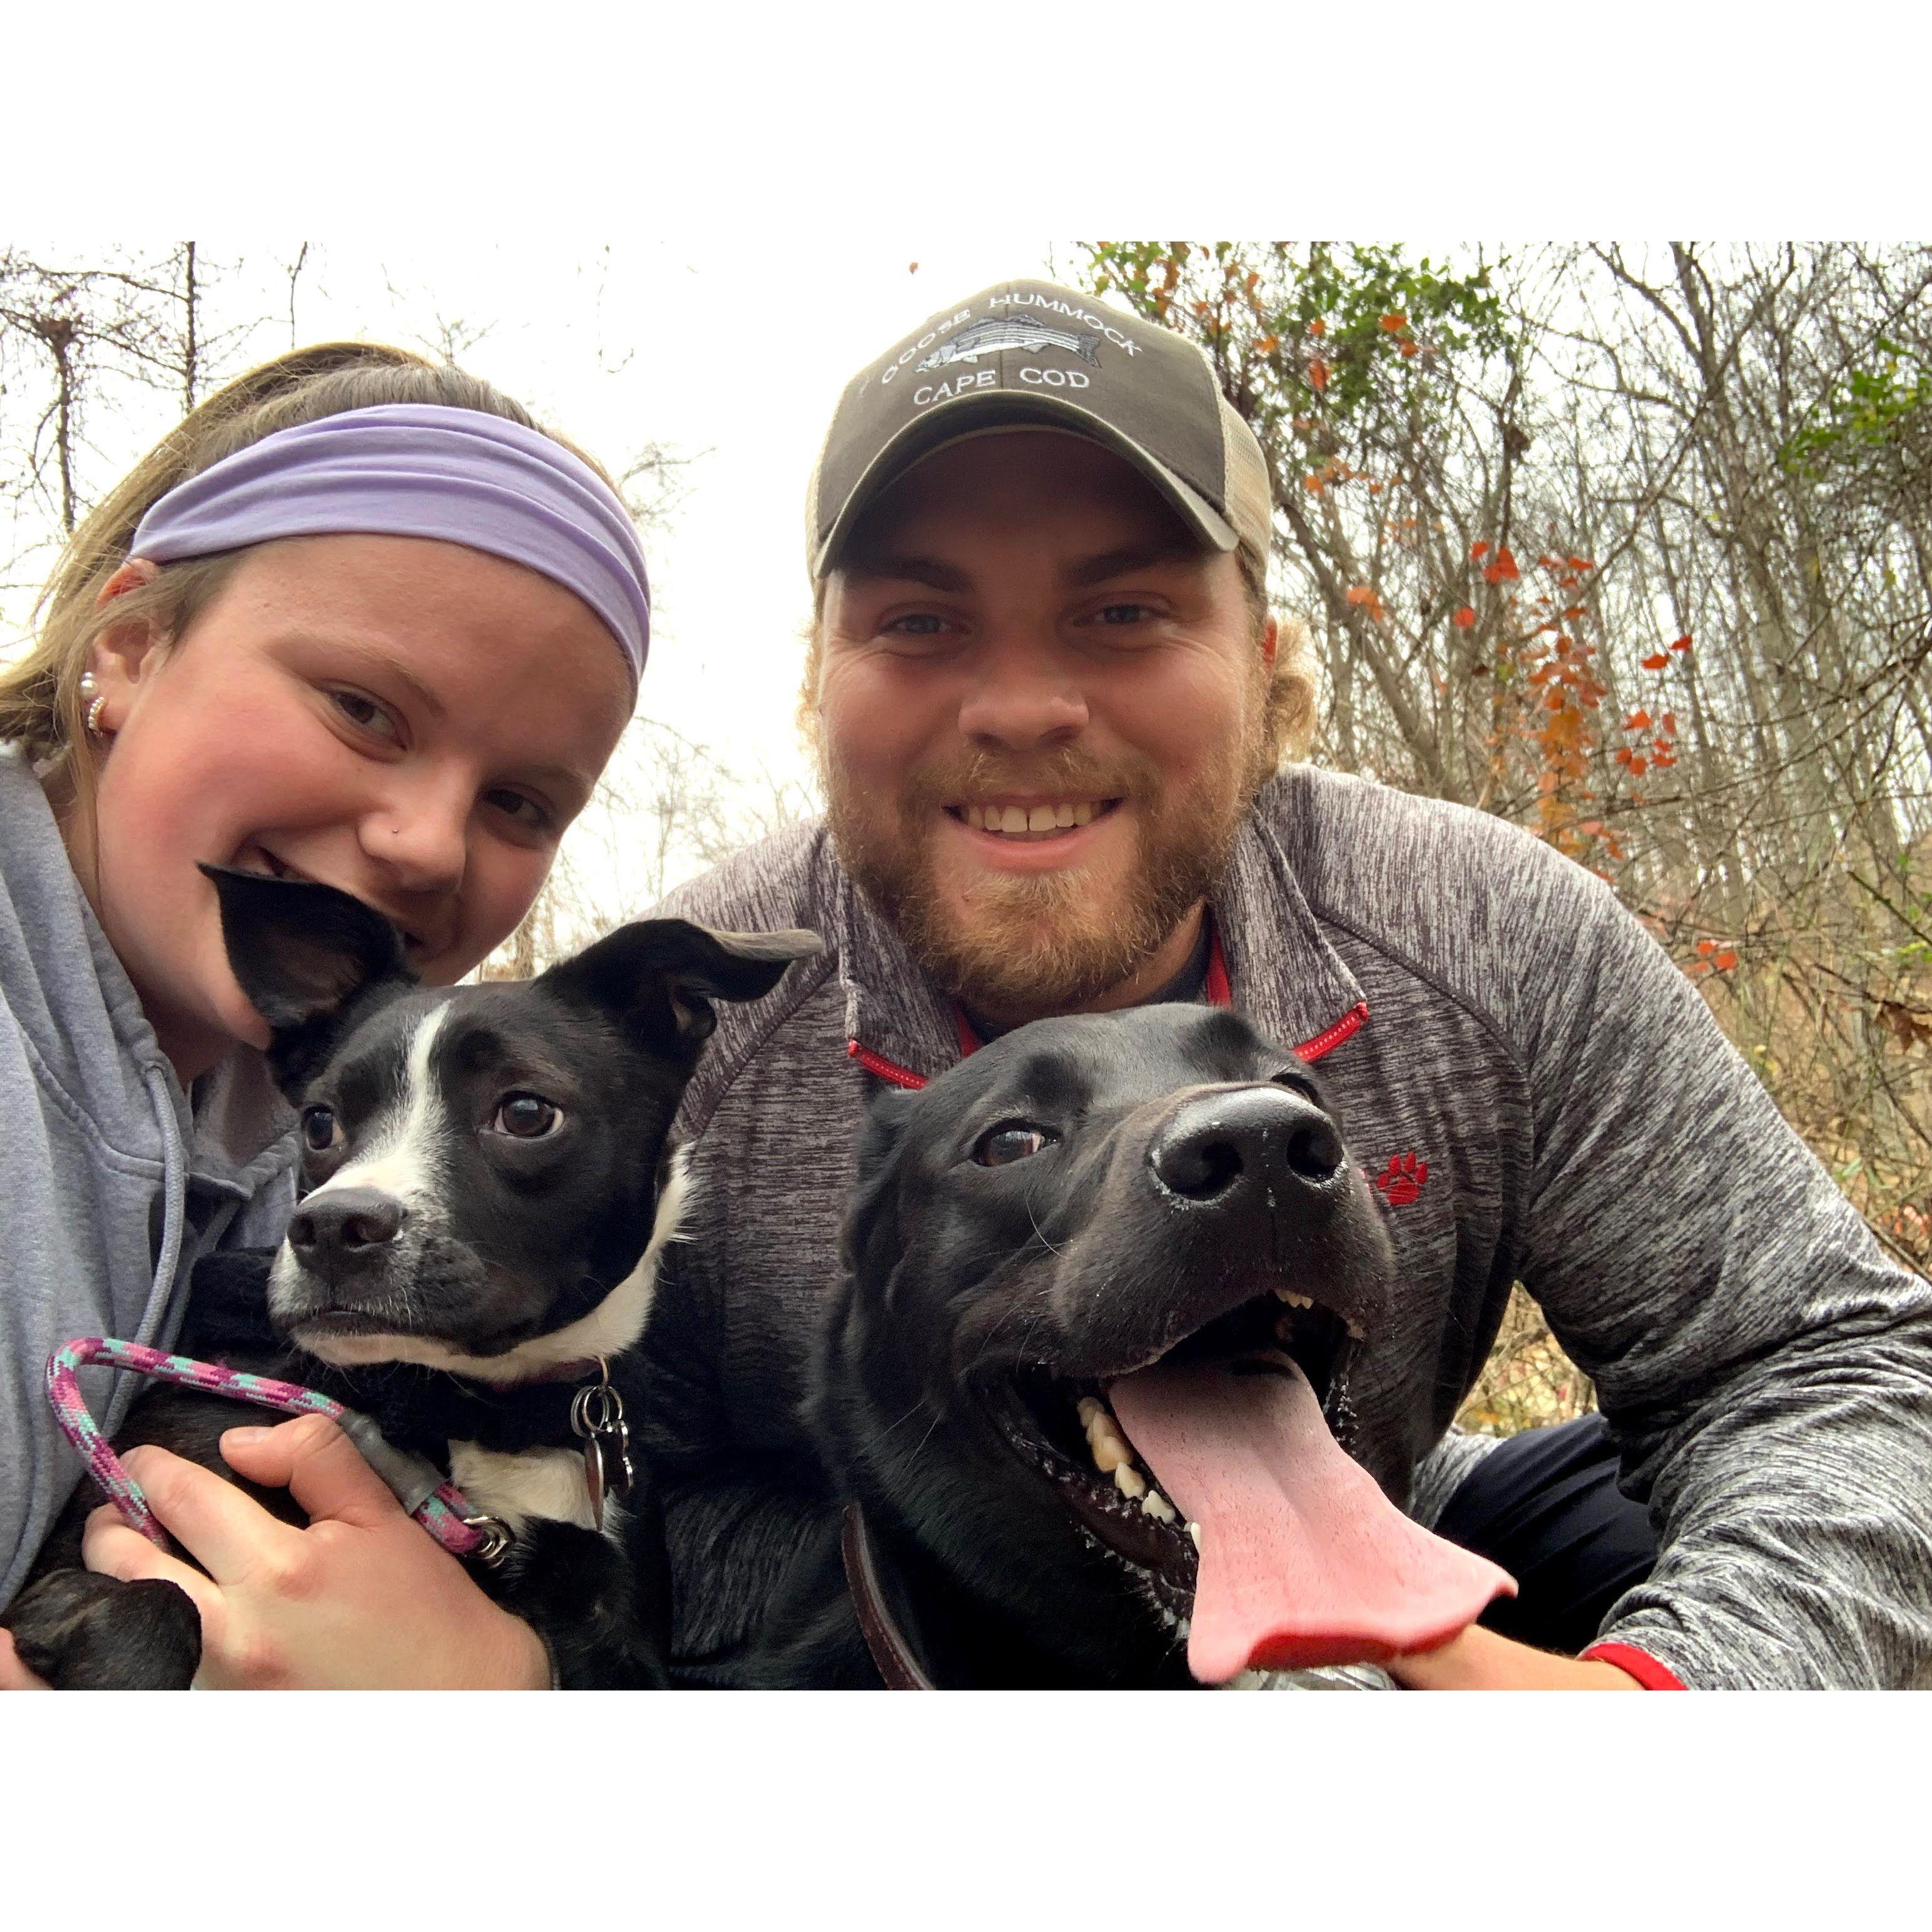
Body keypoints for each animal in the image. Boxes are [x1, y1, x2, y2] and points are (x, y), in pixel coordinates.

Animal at [2, 869, 815, 1684]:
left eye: (526, 1112)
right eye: (318, 1122)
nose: (333, 1227)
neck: (472, 1411)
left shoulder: (614, 1636)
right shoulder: (83, 1560)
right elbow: (158, 1606)